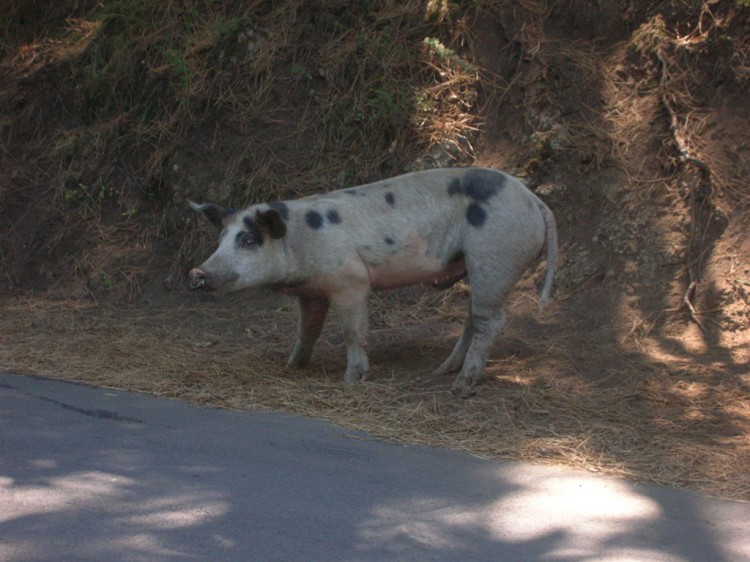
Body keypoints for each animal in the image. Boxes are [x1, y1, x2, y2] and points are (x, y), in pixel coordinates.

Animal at [189, 166, 560, 394]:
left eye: (249, 240)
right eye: (221, 239)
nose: (198, 272)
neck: (299, 240)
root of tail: (536, 202)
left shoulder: (349, 281)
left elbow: (354, 331)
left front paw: (351, 379)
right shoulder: (311, 293)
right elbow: (306, 331)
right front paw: (291, 366)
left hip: (494, 257)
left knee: (492, 321)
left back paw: (460, 387)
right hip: (479, 267)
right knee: (475, 317)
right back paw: (443, 371)